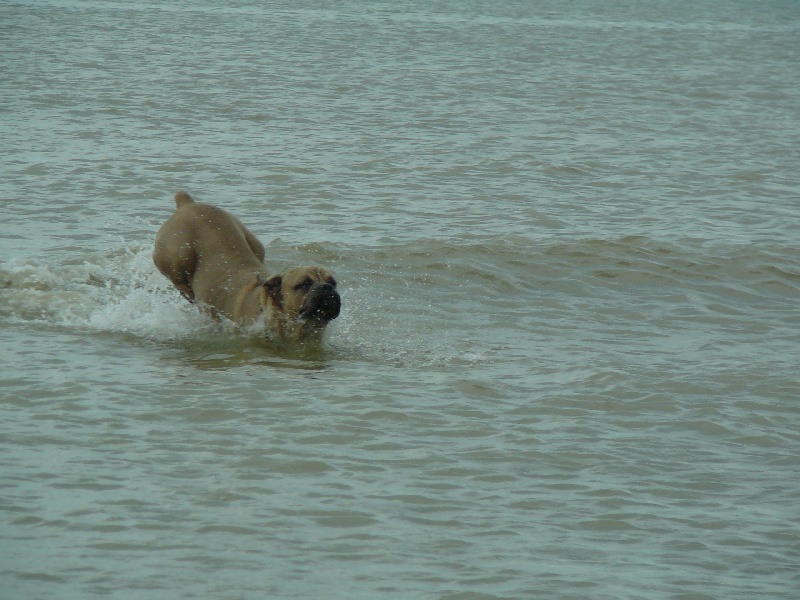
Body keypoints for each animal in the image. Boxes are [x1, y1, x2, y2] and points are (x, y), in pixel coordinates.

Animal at [153, 191, 340, 343]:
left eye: (333, 282)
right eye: (304, 284)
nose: (326, 287)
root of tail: (187, 204)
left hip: (257, 246)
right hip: (177, 256)